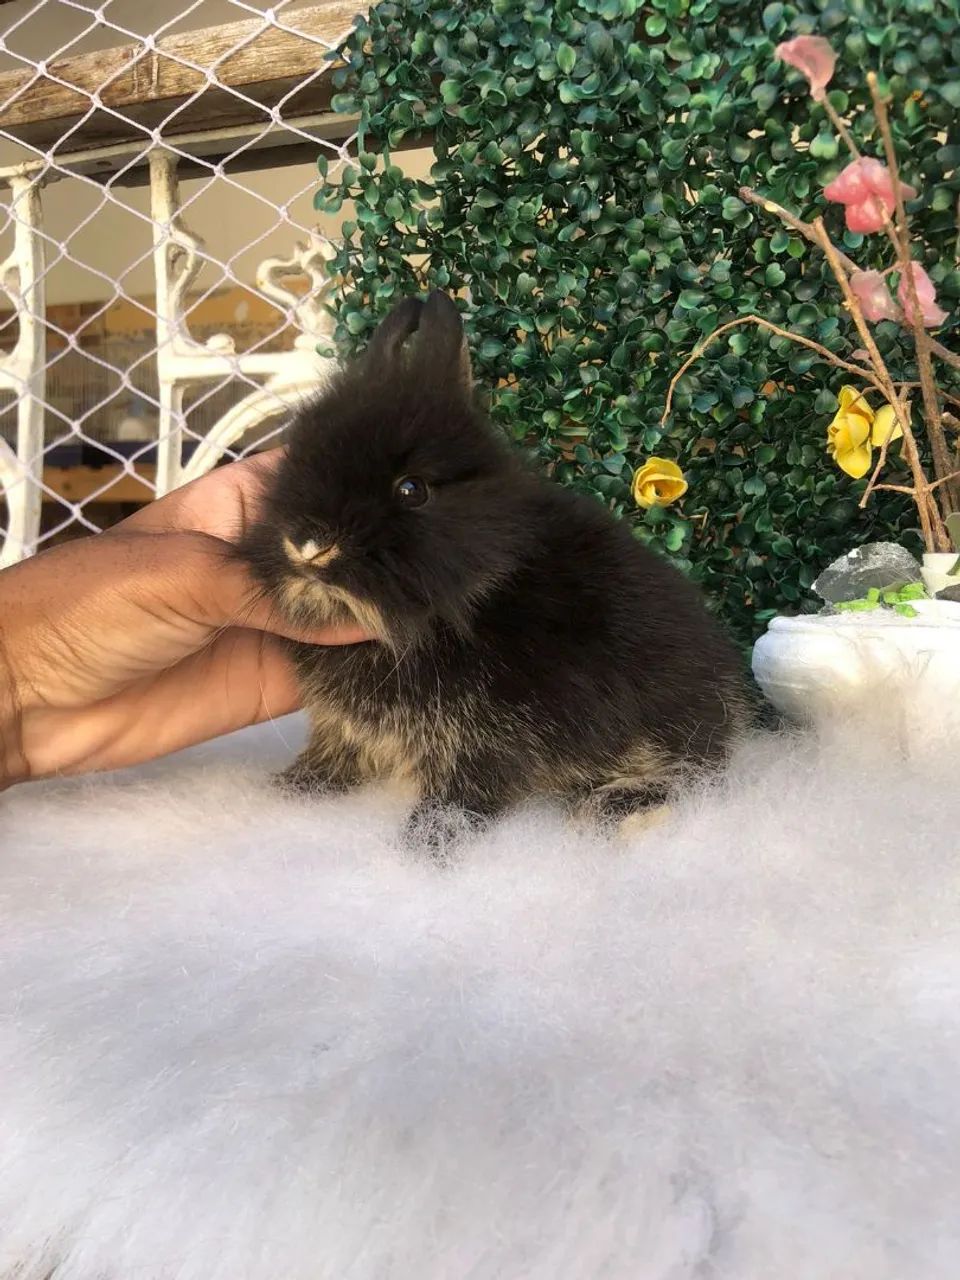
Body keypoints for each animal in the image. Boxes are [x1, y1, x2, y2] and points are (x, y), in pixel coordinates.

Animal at [240, 291, 750, 851]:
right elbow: (334, 757)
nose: (308, 545)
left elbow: (458, 799)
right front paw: (289, 790)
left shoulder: (482, 742)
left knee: (695, 775)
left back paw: (609, 811)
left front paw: (423, 848)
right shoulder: (347, 730)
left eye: (412, 490)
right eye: (292, 459)